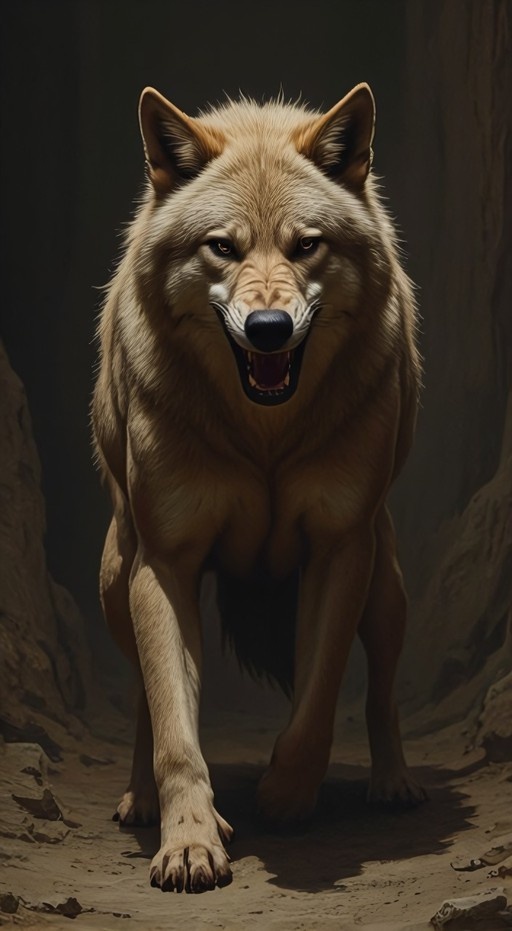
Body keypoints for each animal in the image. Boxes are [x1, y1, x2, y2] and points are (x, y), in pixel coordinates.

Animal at [92, 82, 426, 894]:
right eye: (223, 246)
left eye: (307, 245)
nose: (269, 327)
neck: (263, 436)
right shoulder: (166, 565)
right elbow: (176, 732)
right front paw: (189, 840)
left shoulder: (339, 550)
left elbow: (319, 697)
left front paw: (285, 794)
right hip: (118, 583)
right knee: (146, 702)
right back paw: (142, 802)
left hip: (387, 586)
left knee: (383, 691)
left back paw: (394, 783)